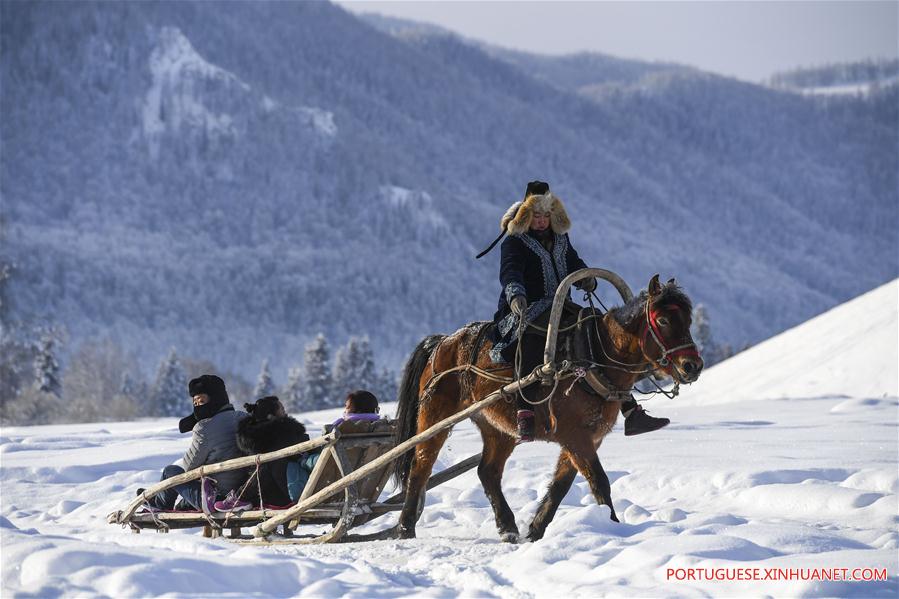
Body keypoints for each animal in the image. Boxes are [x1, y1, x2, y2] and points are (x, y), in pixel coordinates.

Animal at [390, 276, 708, 544]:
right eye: (662, 319)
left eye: (688, 319)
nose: (692, 366)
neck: (591, 355)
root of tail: (442, 342)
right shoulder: (576, 437)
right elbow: (599, 482)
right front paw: (615, 528)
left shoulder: (585, 439)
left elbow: (560, 486)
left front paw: (535, 530)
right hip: (436, 417)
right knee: (421, 467)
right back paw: (406, 528)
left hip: (498, 428)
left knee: (488, 471)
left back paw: (508, 528)